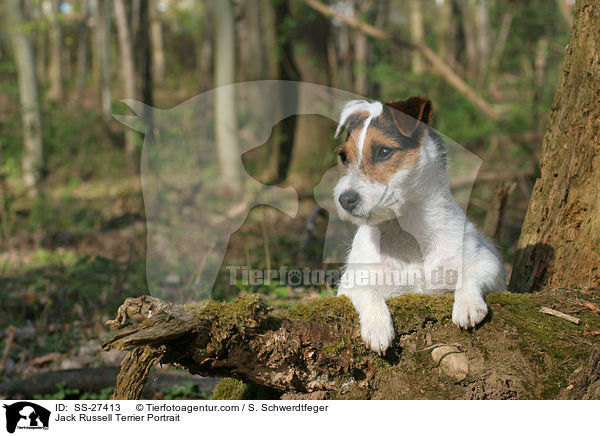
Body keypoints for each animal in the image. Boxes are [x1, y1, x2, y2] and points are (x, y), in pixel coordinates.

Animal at [332, 96, 506, 354]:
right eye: (344, 157)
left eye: (384, 151)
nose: (345, 200)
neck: (407, 233)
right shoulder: (349, 284)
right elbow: (367, 290)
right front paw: (377, 327)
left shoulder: (489, 264)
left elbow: (471, 275)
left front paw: (466, 304)